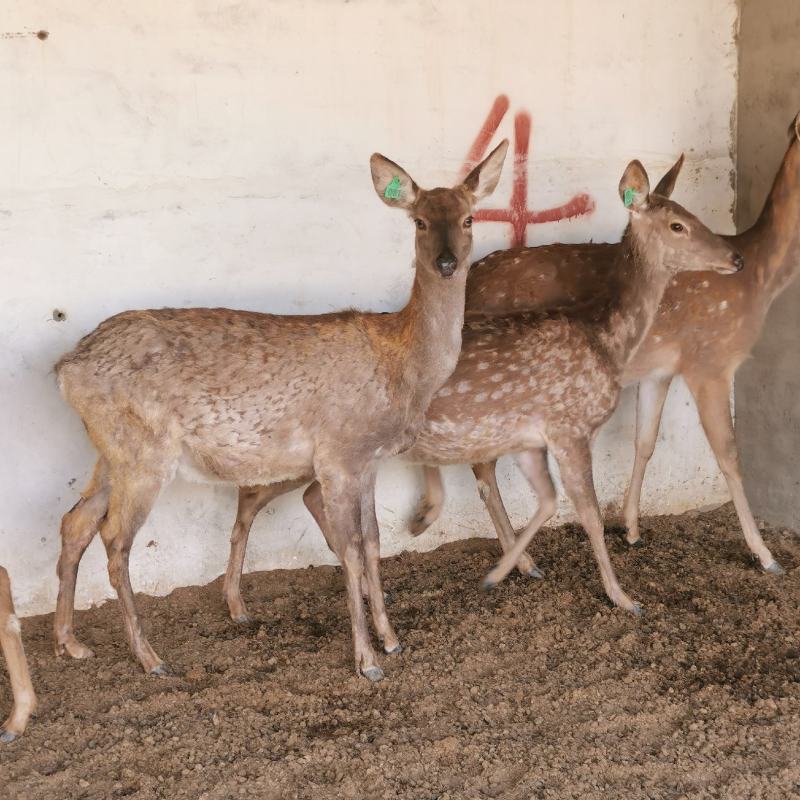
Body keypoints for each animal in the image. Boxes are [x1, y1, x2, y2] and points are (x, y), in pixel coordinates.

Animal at [52, 140, 509, 681]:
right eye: (418, 221)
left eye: (469, 217)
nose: (446, 262)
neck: (403, 368)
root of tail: (65, 369)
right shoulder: (337, 456)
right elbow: (351, 550)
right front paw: (367, 660)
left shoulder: (369, 461)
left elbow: (376, 543)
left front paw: (392, 639)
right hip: (143, 452)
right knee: (115, 537)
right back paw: (150, 657)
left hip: (108, 450)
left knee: (75, 521)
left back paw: (70, 643)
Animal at [216, 158, 743, 617]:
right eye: (677, 225)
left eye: (694, 214)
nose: (735, 256)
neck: (605, 338)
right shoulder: (570, 426)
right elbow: (590, 514)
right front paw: (624, 598)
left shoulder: (531, 436)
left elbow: (548, 501)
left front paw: (500, 572)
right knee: (251, 496)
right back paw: (238, 605)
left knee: (300, 497)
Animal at [410, 113, 800, 577]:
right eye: (678, 225)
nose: (733, 260)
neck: (761, 279)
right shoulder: (710, 360)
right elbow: (729, 456)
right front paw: (766, 555)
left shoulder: (661, 369)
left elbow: (645, 441)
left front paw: (631, 528)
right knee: (480, 464)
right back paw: (521, 561)